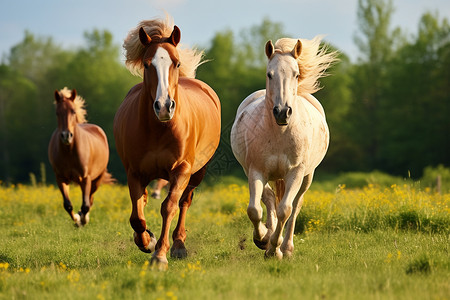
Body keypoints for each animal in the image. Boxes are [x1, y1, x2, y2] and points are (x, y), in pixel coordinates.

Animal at [48, 88, 112, 226]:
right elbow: (67, 205)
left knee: (90, 199)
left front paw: (82, 219)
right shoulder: (60, 178)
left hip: (96, 180)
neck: (69, 152)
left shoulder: (85, 178)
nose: (66, 136)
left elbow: (86, 204)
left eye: (73, 111)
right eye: (57, 113)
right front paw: (77, 220)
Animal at [114, 15, 221, 270]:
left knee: (184, 202)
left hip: (197, 172)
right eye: (146, 64)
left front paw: (160, 254)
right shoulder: (134, 172)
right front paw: (147, 241)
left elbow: (169, 206)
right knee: (142, 202)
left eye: (177, 63)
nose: (164, 106)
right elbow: (136, 216)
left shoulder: (181, 170)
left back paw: (179, 245)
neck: (158, 129)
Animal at [230, 37, 336, 258]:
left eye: (296, 74)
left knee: (295, 206)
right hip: (254, 172)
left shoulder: (296, 173)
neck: (280, 133)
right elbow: (254, 210)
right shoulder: (256, 171)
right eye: (269, 74)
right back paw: (268, 236)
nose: (282, 112)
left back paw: (286, 247)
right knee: (269, 199)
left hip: (307, 176)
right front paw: (263, 240)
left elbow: (285, 210)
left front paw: (275, 250)